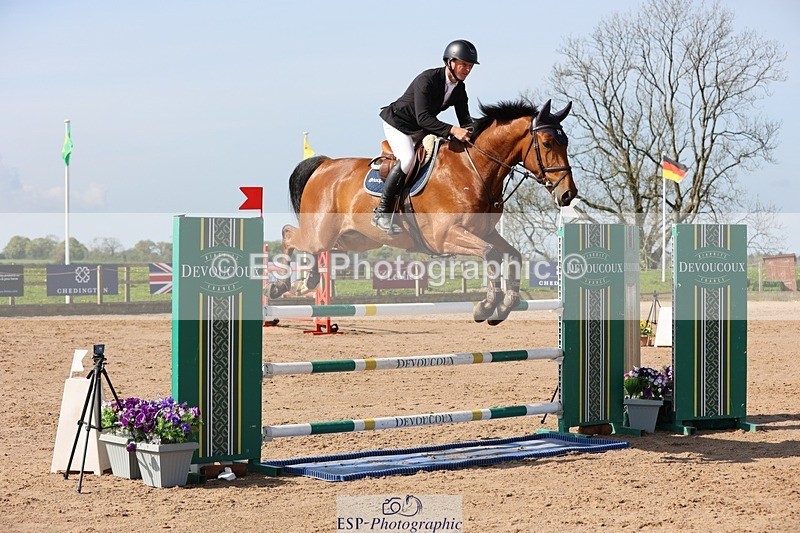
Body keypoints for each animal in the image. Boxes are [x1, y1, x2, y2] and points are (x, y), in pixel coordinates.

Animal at [269, 98, 577, 325]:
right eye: (547, 143)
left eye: (566, 142)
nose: (568, 194)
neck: (473, 168)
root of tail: (324, 165)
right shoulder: (446, 236)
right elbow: (491, 254)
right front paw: (486, 306)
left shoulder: (484, 232)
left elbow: (513, 256)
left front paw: (504, 307)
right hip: (321, 231)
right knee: (289, 234)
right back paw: (280, 285)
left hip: (355, 239)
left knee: (319, 248)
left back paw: (307, 281)